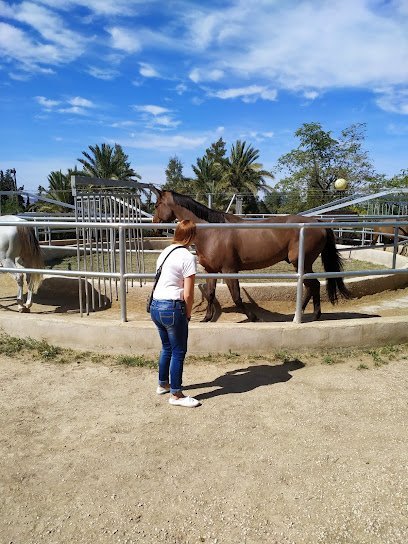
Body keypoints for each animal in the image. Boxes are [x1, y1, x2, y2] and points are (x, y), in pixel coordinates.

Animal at [151, 189, 350, 320]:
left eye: (157, 204)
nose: (154, 224)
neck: (212, 231)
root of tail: (318, 223)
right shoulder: (211, 270)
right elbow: (210, 293)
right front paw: (207, 318)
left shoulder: (230, 270)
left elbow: (237, 297)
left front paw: (253, 317)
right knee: (313, 286)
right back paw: (311, 313)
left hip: (301, 262)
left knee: (313, 285)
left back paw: (306, 313)